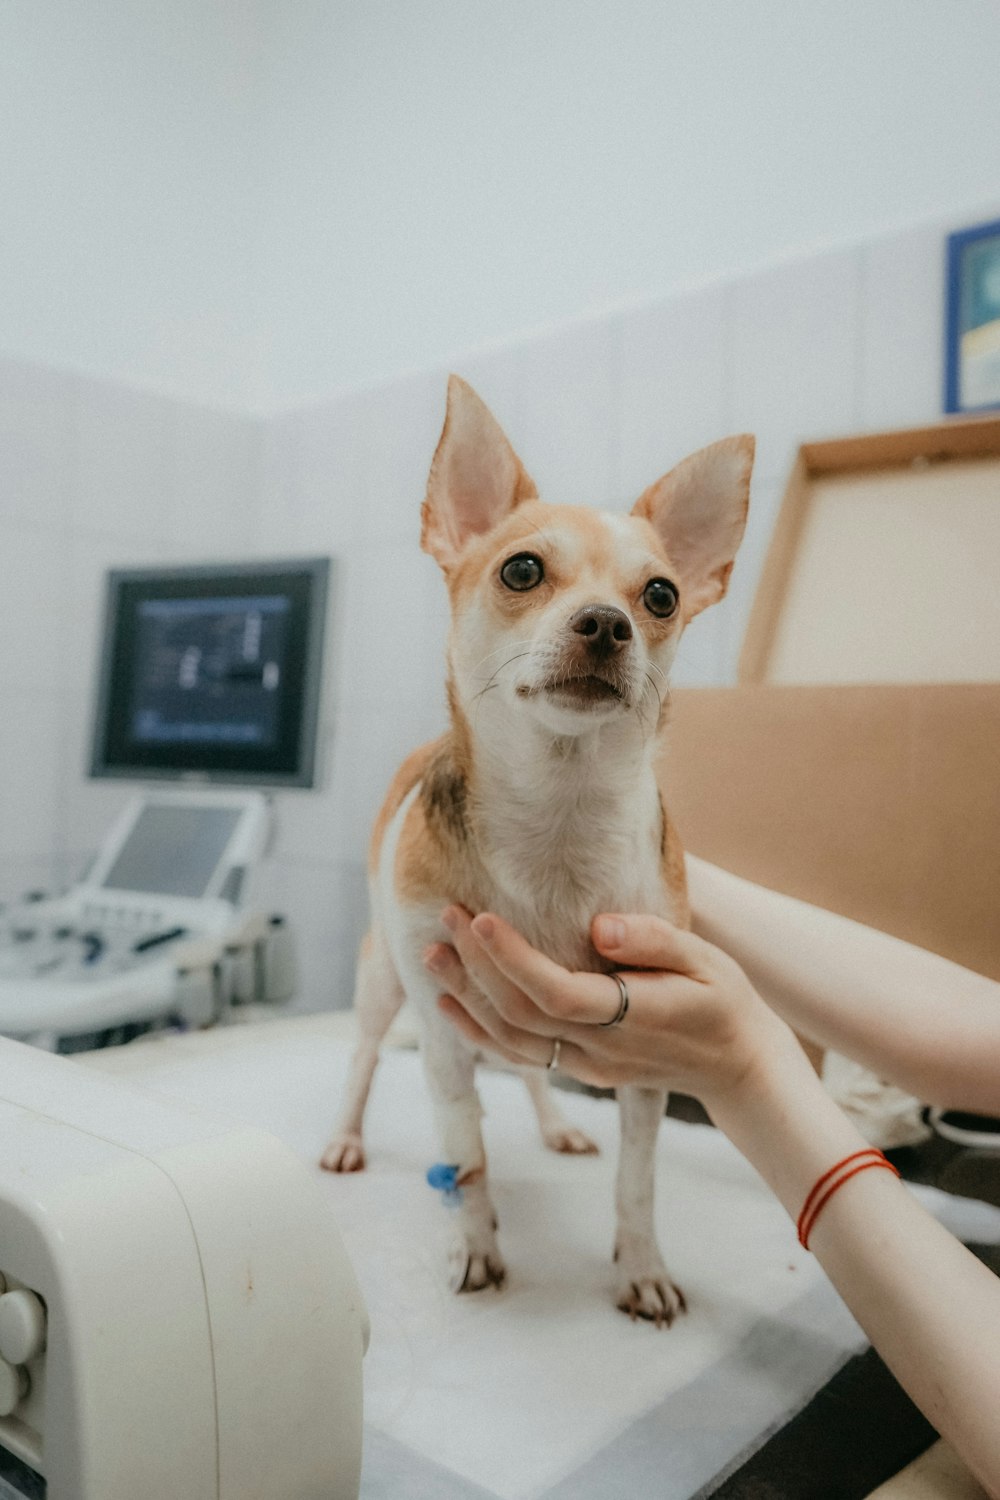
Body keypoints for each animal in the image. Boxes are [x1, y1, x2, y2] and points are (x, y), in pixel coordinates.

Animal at [320, 378, 749, 1326]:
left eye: (660, 595)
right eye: (521, 570)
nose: (607, 623)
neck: (560, 814)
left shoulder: (647, 1066)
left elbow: (638, 1179)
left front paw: (641, 1268)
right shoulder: (442, 1032)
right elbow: (466, 1157)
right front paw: (475, 1247)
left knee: (529, 1073)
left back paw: (557, 1126)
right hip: (380, 981)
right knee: (364, 1060)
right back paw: (344, 1136)